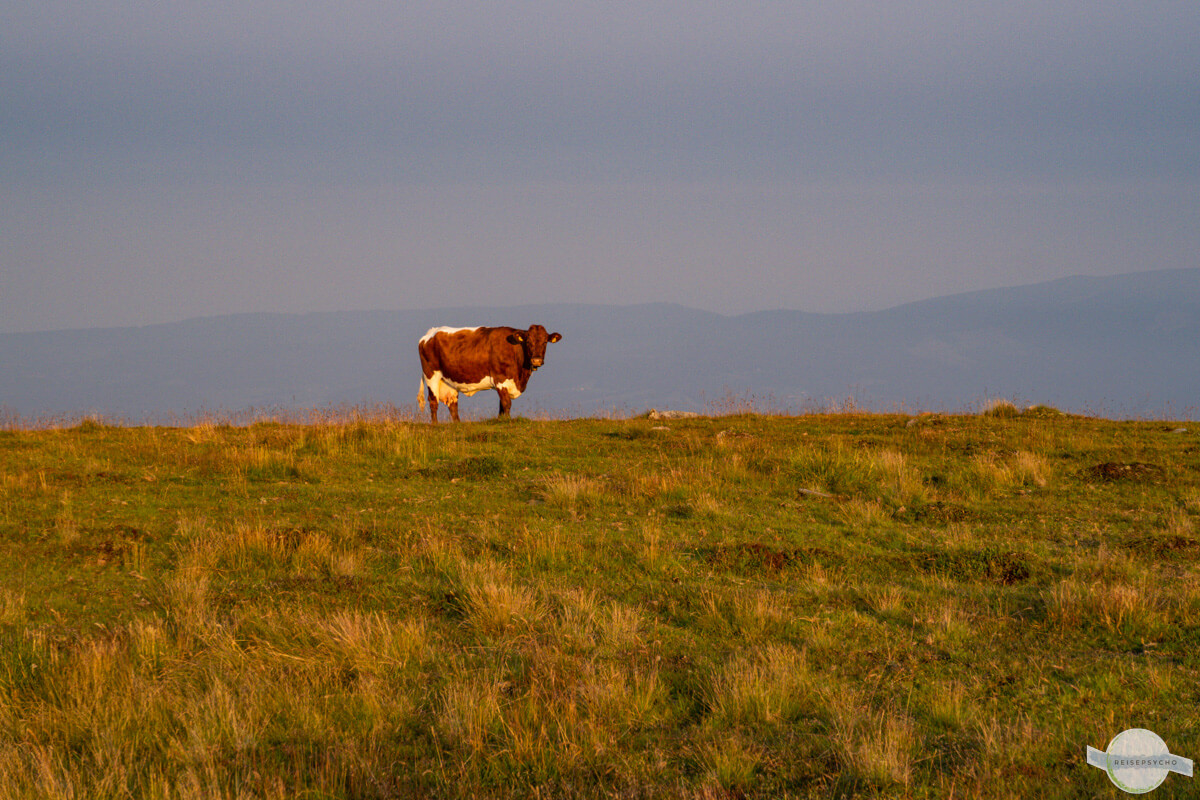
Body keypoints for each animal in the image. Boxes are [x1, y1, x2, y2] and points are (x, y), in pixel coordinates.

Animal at [417, 325, 562, 423]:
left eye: (545, 342)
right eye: (528, 342)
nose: (536, 360)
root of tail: (430, 333)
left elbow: (501, 406)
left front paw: (501, 420)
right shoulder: (500, 379)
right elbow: (506, 403)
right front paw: (507, 421)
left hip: (450, 381)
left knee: (453, 405)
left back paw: (457, 424)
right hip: (431, 375)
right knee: (433, 401)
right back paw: (435, 424)